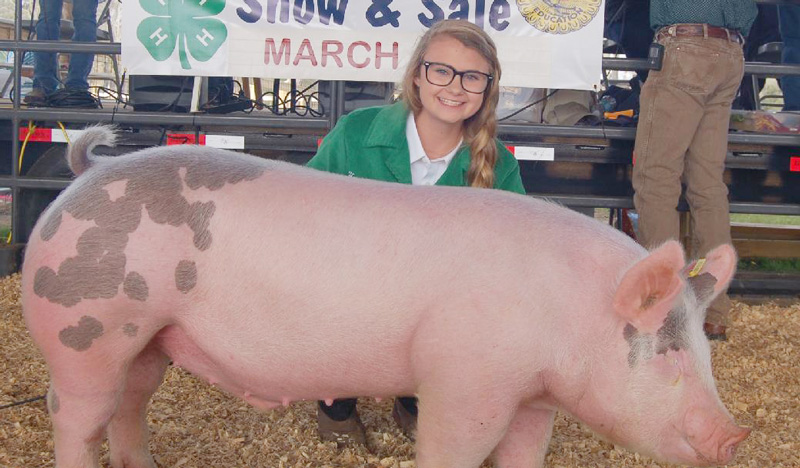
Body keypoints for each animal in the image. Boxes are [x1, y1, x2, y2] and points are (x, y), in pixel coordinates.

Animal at [22, 126, 749, 468]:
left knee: (130, 403)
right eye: (667, 353)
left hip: (150, 339)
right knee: (76, 412)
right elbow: (451, 446)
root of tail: (86, 176)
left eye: (705, 353)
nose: (737, 435)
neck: (563, 311)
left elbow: (523, 453)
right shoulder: (464, 379)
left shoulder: (533, 396)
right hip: (86, 327)